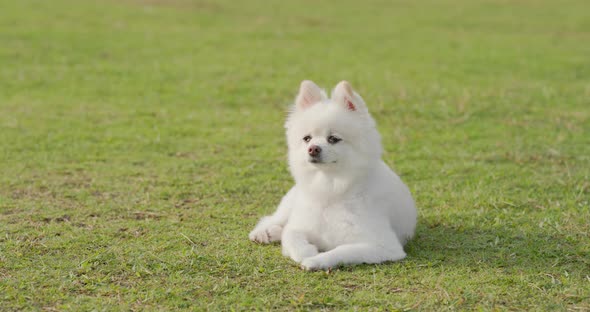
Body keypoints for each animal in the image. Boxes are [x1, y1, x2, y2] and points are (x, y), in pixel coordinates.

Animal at [250, 80, 420, 270]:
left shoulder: (384, 246)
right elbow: (291, 236)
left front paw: (315, 260)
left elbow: (342, 251)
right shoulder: (299, 225)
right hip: (290, 202)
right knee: (277, 218)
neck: (330, 187)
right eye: (307, 138)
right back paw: (265, 232)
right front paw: (307, 252)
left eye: (333, 139)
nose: (313, 149)